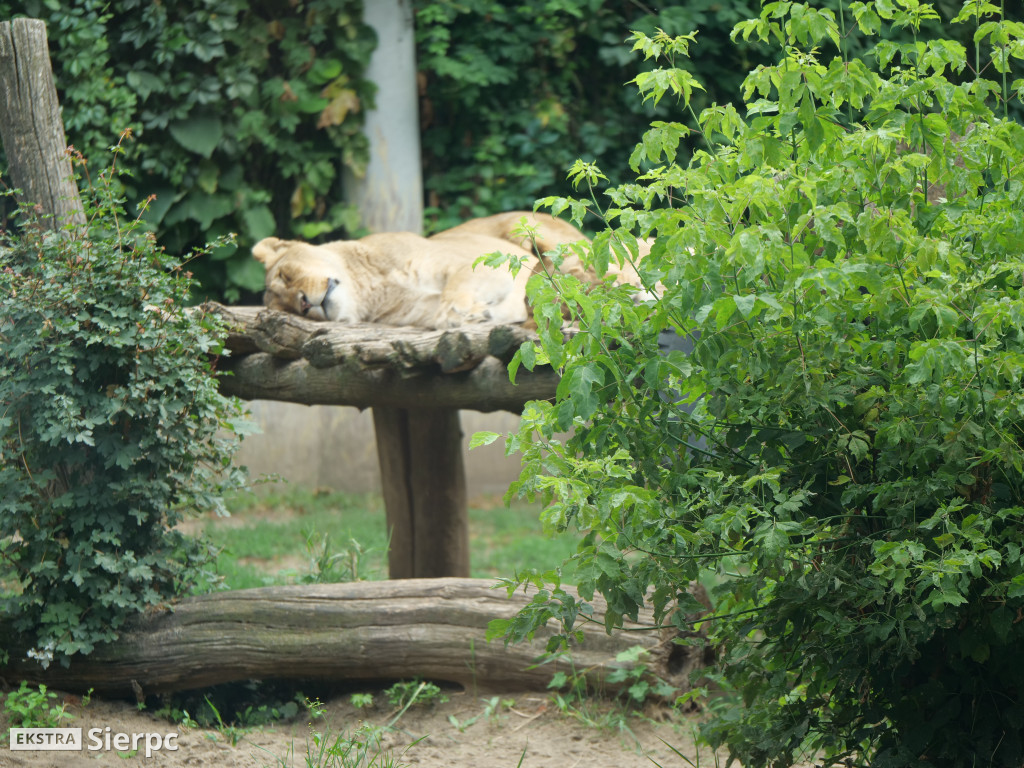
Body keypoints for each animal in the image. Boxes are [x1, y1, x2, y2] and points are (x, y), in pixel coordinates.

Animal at [254, 211, 638, 329]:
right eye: (288, 308)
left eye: (286, 276)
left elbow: (455, 287)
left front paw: (464, 312)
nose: (305, 304)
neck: (370, 290)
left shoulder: (484, 261)